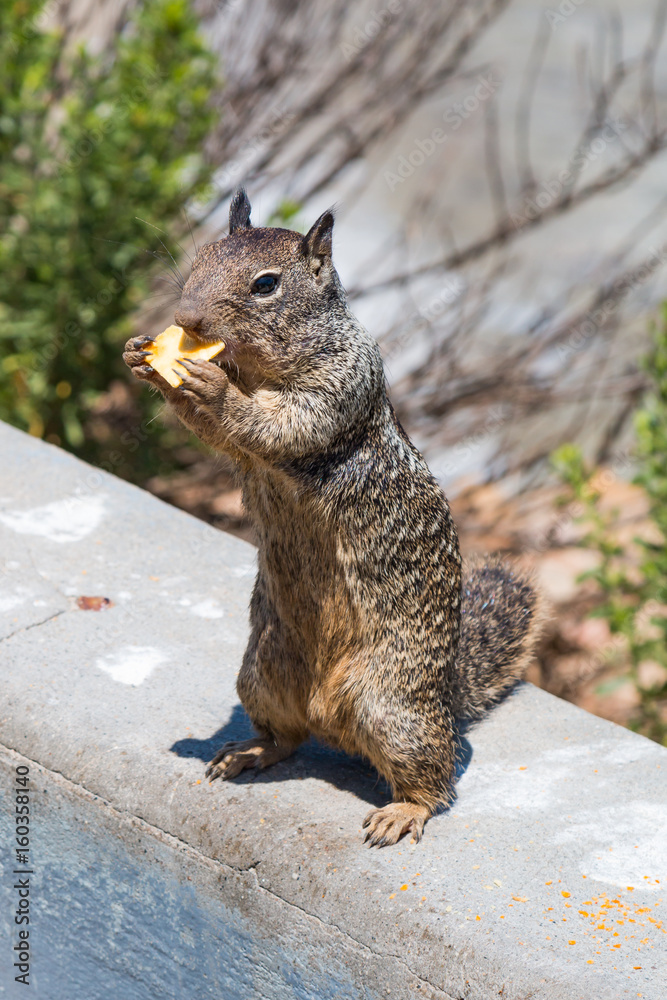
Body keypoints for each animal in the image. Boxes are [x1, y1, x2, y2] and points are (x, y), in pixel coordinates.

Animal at [123, 189, 545, 847]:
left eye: (267, 284)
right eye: (201, 257)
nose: (187, 320)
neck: (256, 367)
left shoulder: (342, 384)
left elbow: (282, 423)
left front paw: (206, 384)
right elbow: (221, 435)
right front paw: (141, 356)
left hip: (393, 708)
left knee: (436, 777)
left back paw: (403, 811)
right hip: (262, 673)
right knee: (288, 738)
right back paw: (247, 752)